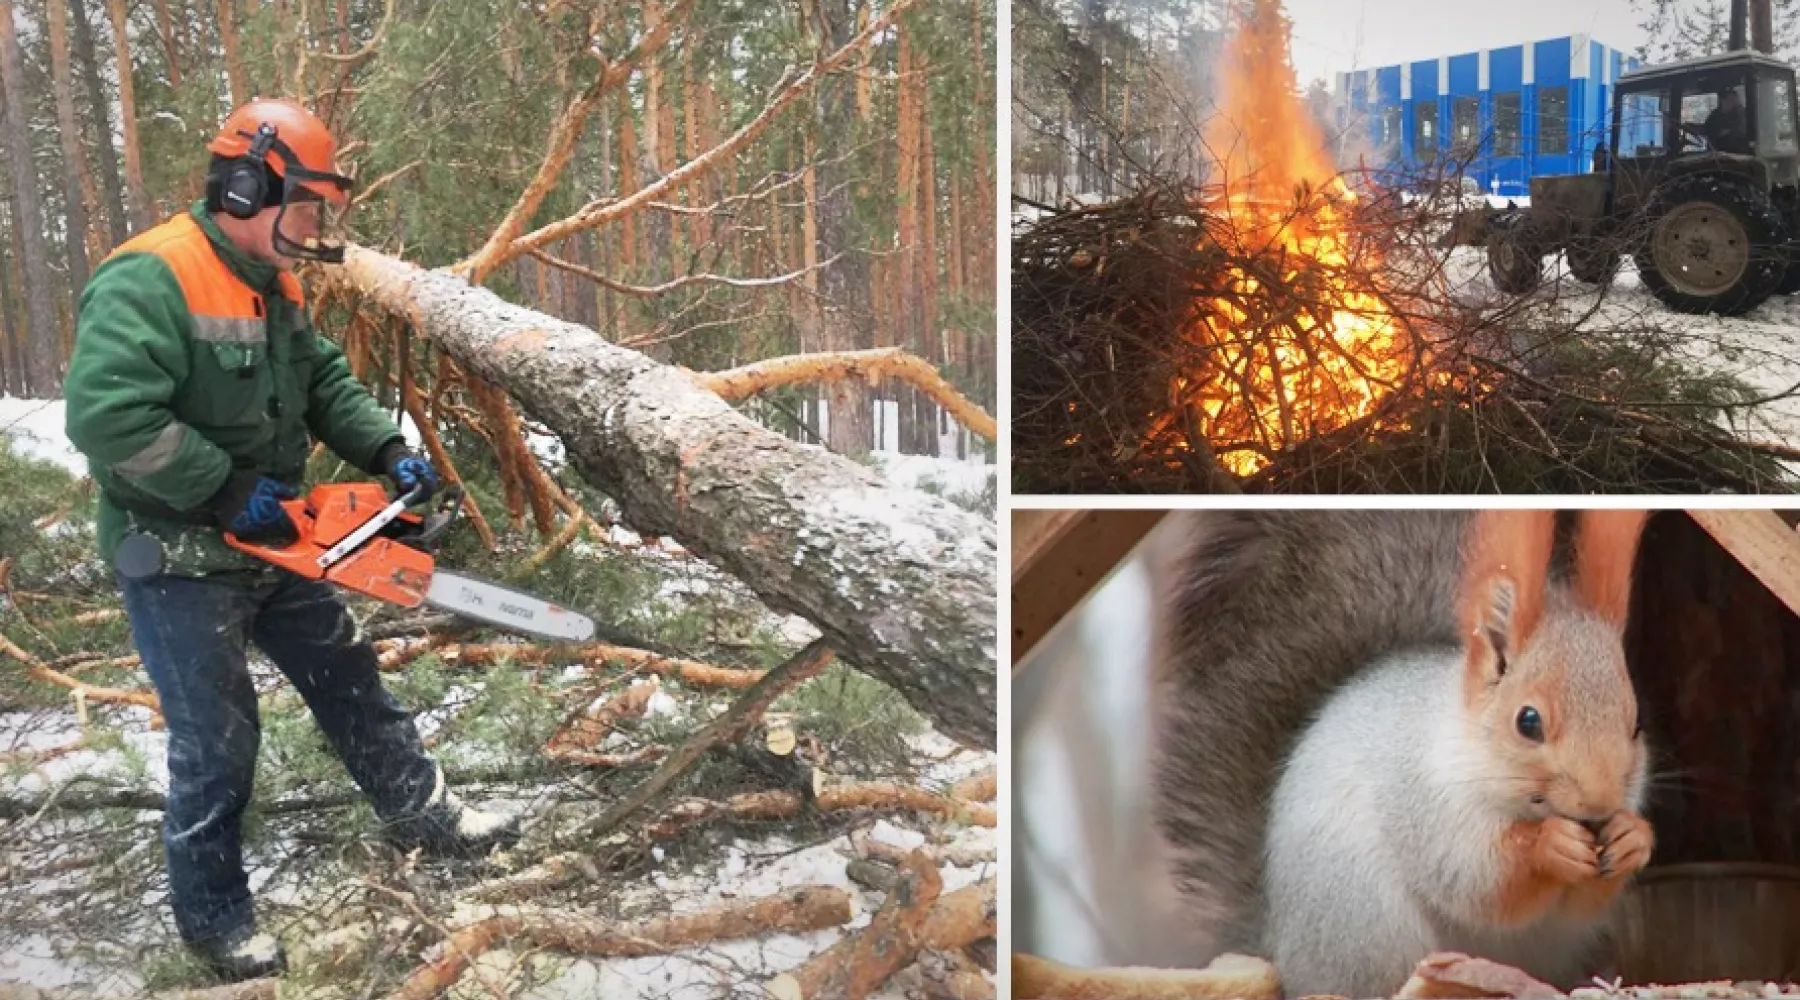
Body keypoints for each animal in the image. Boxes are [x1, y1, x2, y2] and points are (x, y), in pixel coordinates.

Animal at [1144, 510, 1648, 992]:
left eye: (1637, 722)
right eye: (1528, 722)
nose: (1601, 804)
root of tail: (1277, 946)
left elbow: (1578, 907)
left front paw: (1632, 837)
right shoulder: (1423, 801)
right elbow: (1478, 882)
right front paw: (1550, 843)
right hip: (1363, 920)